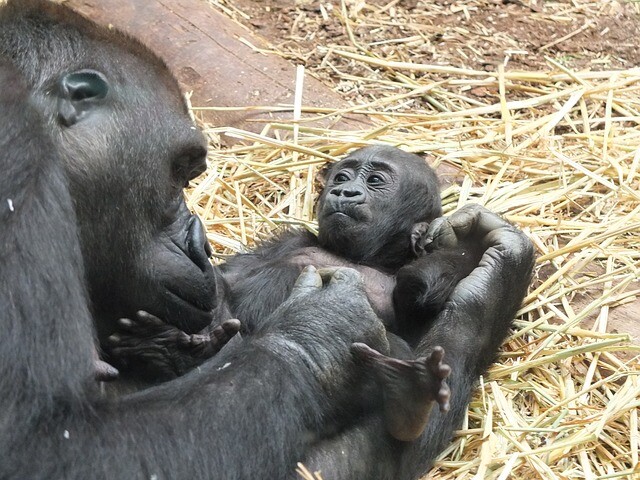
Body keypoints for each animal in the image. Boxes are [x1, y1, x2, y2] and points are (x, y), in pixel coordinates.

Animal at [110, 145, 482, 438]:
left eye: (375, 181)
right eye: (342, 177)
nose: (344, 193)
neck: (362, 256)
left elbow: (422, 293)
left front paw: (446, 239)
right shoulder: (289, 241)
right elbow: (227, 282)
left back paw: (409, 390)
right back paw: (170, 351)